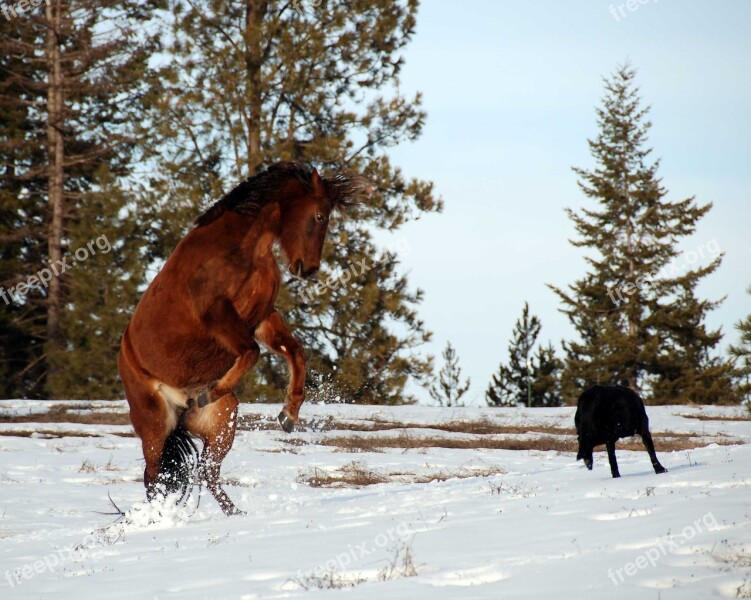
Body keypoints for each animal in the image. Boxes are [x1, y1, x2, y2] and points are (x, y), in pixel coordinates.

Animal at [118, 162, 368, 512]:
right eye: (320, 216)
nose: (308, 269)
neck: (244, 249)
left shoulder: (262, 316)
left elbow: (295, 351)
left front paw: (288, 415)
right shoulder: (217, 313)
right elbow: (252, 352)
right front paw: (211, 391)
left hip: (223, 421)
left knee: (206, 473)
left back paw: (237, 513)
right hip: (154, 426)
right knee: (155, 479)